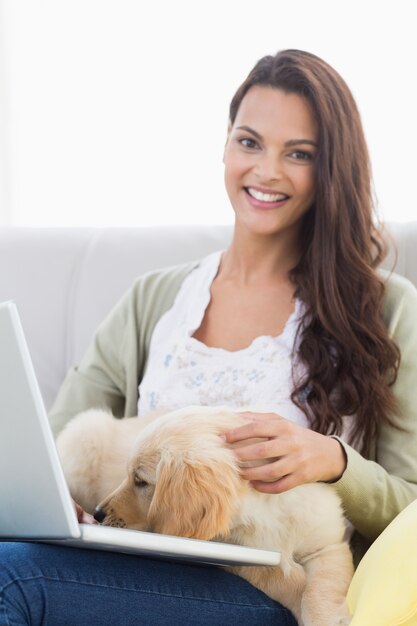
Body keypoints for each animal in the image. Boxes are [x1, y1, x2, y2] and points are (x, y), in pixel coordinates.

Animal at [57, 404, 352, 624]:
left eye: (140, 481)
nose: (97, 513)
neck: (262, 510)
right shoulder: (229, 552)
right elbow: (277, 575)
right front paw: (295, 581)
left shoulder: (328, 545)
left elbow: (320, 590)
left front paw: (326, 617)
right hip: (84, 432)